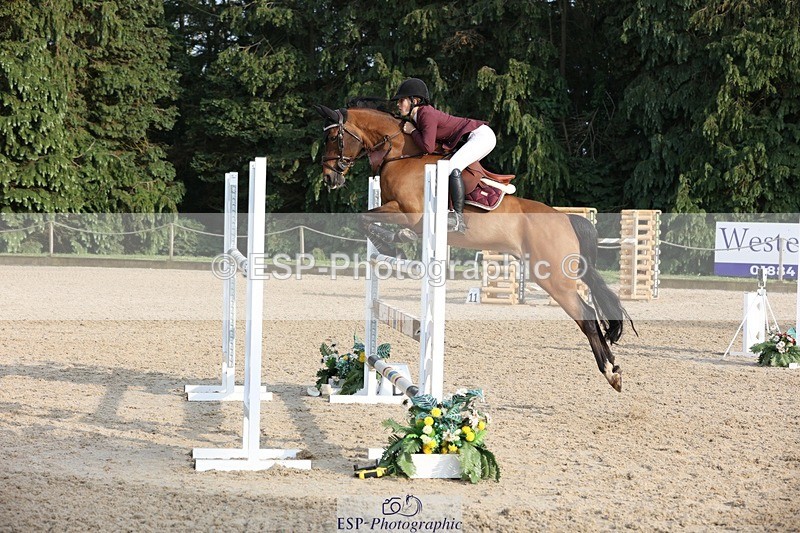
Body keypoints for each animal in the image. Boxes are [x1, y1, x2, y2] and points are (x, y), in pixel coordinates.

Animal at [314, 102, 633, 392]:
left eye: (333, 137)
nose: (329, 178)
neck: (400, 155)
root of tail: (566, 218)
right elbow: (365, 219)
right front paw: (391, 242)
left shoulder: (411, 214)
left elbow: (363, 218)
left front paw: (393, 242)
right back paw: (614, 369)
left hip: (553, 278)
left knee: (587, 316)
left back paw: (610, 373)